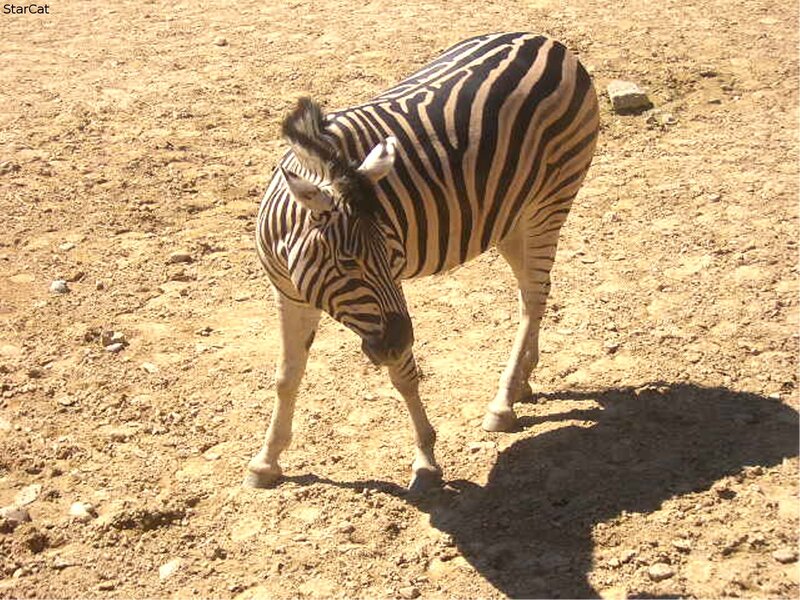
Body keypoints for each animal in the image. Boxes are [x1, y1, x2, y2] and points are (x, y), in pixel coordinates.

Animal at [245, 32, 600, 491]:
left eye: (395, 257)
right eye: (347, 263)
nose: (397, 342)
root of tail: (549, 41)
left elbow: (403, 376)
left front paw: (426, 460)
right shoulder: (290, 295)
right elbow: (286, 377)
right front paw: (266, 460)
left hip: (549, 202)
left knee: (535, 297)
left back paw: (503, 403)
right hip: (509, 217)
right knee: (531, 294)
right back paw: (523, 380)